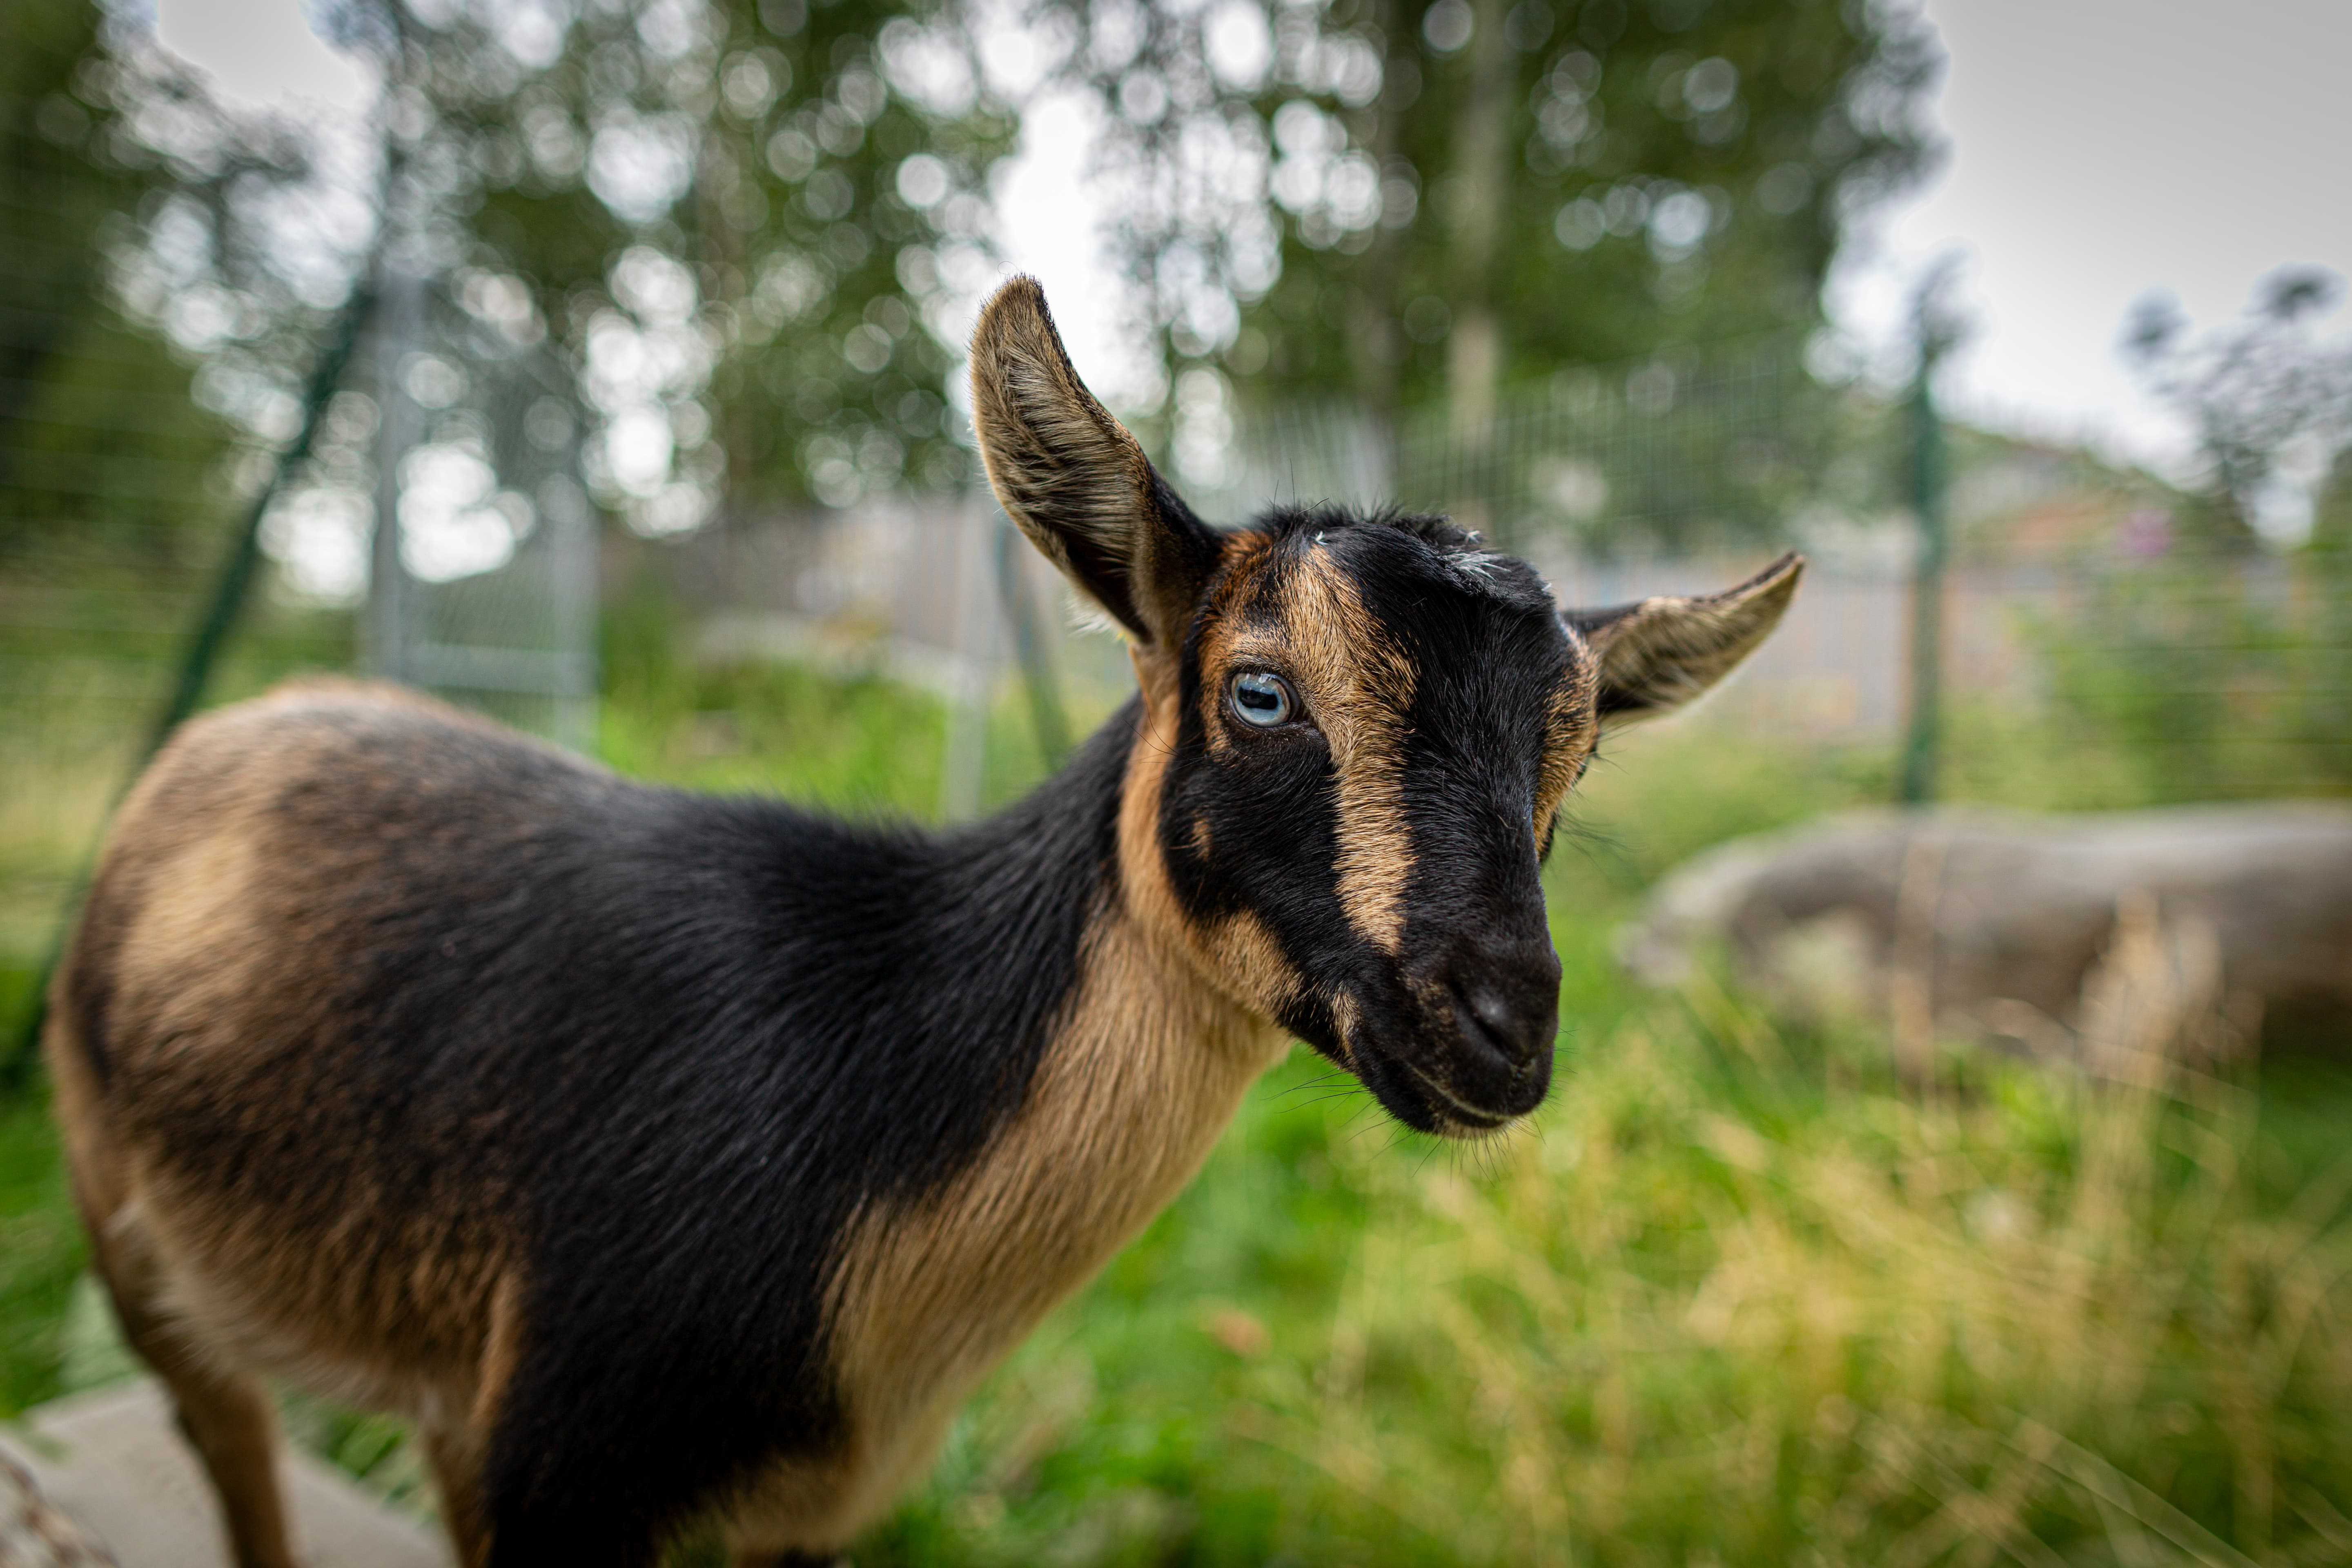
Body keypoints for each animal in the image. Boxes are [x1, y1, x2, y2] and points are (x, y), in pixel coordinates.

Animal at [44, 276, 1801, 1567]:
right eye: (1257, 691)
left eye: (1577, 753)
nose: (1499, 1028)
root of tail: (221, 734)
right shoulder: (566, 1470)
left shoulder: (788, 1509)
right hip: (135, 1244)